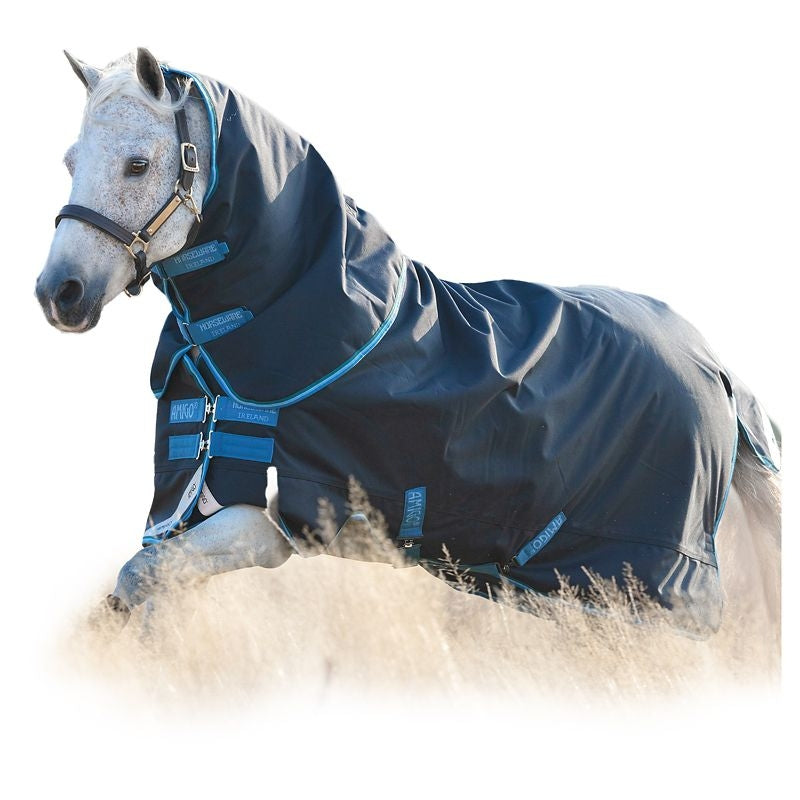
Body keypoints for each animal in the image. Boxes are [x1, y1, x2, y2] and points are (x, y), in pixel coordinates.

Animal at [36, 48, 781, 641]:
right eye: (70, 160)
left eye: (138, 164)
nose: (59, 293)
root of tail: (715, 368)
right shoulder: (190, 507)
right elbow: (152, 592)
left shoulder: (270, 525)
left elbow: (139, 579)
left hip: (638, 585)